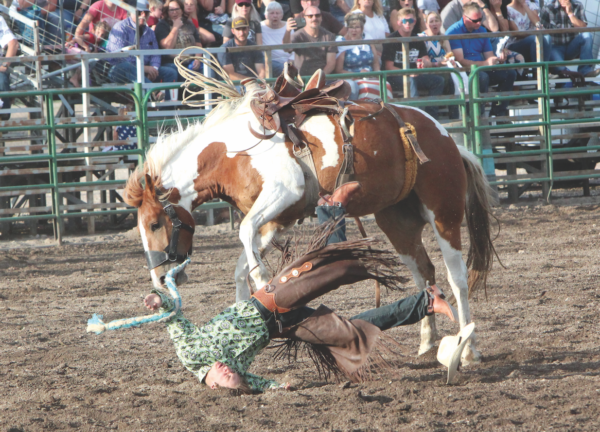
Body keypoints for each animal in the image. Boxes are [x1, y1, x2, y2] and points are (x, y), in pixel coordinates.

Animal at [124, 82, 497, 366]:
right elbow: (242, 262)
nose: (159, 280)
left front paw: (265, 282)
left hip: (443, 211)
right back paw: (427, 341)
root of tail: (447, 138)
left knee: (456, 277)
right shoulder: (275, 220)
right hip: (397, 221)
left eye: (155, 224)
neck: (232, 153)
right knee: (424, 272)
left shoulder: (282, 194)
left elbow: (244, 237)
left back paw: (469, 350)